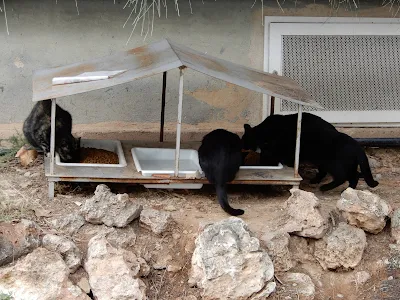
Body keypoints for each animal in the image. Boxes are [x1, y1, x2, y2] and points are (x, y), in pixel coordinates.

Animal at [241, 112, 378, 190]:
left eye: (243, 140)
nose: (242, 145)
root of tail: (357, 146)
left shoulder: (281, 150)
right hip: (337, 164)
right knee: (354, 176)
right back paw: (347, 190)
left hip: (333, 164)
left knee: (342, 177)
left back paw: (325, 188)